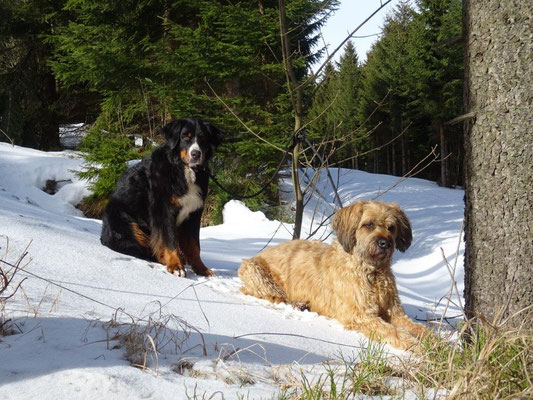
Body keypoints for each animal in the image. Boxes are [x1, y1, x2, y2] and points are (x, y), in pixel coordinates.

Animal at [100, 117, 222, 276]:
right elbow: (169, 240)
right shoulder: (164, 209)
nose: (196, 154)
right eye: (185, 137)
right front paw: (176, 266)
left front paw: (202, 269)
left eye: (202, 138)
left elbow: (194, 245)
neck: (183, 170)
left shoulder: (194, 213)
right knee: (141, 248)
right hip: (126, 223)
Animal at [239, 202, 430, 348]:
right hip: (255, 271)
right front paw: (418, 347)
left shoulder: (395, 312)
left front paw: (434, 342)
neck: (371, 272)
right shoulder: (362, 315)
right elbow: (393, 331)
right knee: (270, 295)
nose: (384, 243)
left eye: (391, 227)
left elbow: (418, 328)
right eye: (368, 224)